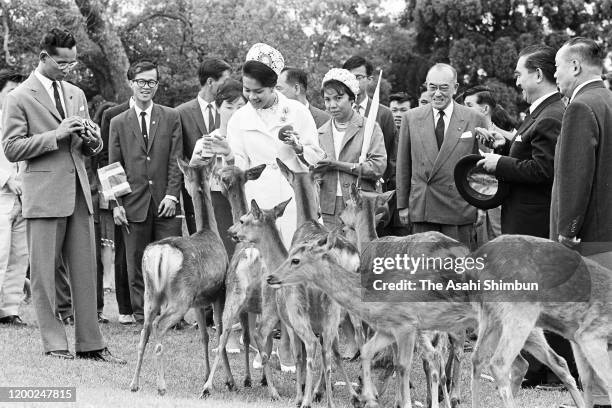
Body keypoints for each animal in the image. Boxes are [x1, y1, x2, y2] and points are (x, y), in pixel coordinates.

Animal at [129, 156, 232, 396]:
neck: (210, 231)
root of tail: (161, 253)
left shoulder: (199, 300)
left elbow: (204, 336)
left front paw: (206, 376)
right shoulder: (219, 292)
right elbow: (219, 332)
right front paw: (228, 381)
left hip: (151, 294)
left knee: (144, 332)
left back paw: (134, 383)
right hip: (180, 296)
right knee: (158, 326)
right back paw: (161, 386)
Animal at [266, 230, 588, 408]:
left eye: (296, 259)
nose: (271, 277)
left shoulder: (408, 325)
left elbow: (405, 365)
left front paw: (401, 402)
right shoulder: (389, 329)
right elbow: (369, 354)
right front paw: (369, 398)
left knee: (540, 362)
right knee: (541, 362)